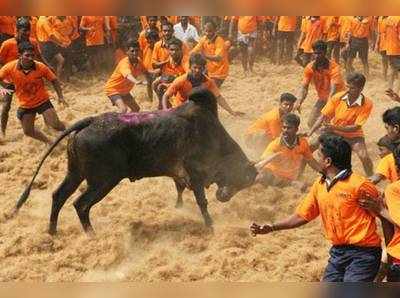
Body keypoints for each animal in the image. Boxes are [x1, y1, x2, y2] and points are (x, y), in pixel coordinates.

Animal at [14, 89, 256, 234]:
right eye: (242, 178)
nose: (224, 197)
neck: (210, 134)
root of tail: (90, 122)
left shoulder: (179, 174)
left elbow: (179, 189)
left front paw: (179, 207)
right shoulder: (195, 174)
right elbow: (201, 202)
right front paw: (210, 226)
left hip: (75, 173)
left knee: (59, 196)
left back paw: (52, 231)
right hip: (103, 181)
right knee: (80, 204)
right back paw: (91, 235)